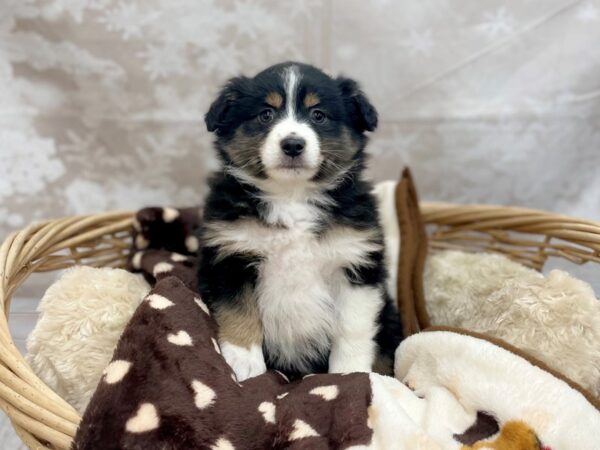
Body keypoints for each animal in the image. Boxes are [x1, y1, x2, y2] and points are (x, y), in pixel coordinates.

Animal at [198, 61, 404, 382]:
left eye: (318, 115)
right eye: (266, 114)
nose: (293, 144)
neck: (292, 196)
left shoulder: (356, 264)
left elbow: (352, 328)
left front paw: (349, 374)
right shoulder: (229, 257)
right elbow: (238, 311)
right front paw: (244, 362)